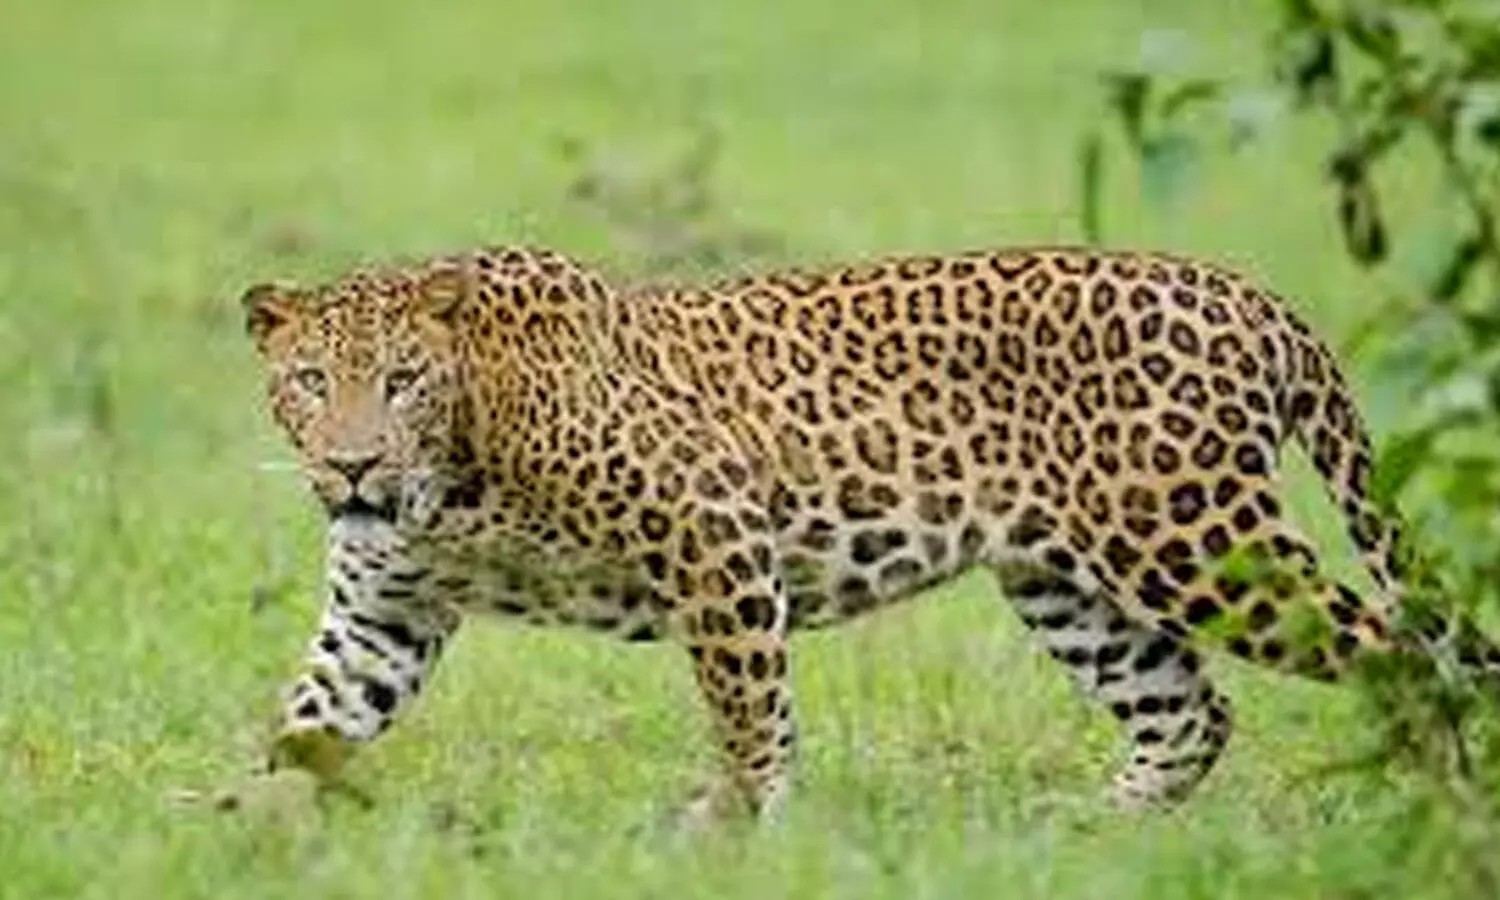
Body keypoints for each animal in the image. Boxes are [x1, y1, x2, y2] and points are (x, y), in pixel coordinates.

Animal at [236, 242, 1500, 820]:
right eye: (309, 382)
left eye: (402, 382)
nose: (351, 463)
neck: (453, 477)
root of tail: (1251, 295)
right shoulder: (384, 615)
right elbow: (305, 725)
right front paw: (234, 832)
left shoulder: (715, 526)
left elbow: (747, 708)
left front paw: (736, 828)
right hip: (1068, 581)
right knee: (1192, 712)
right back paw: (1094, 835)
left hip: (1196, 543)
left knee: (1403, 656)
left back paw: (1439, 807)